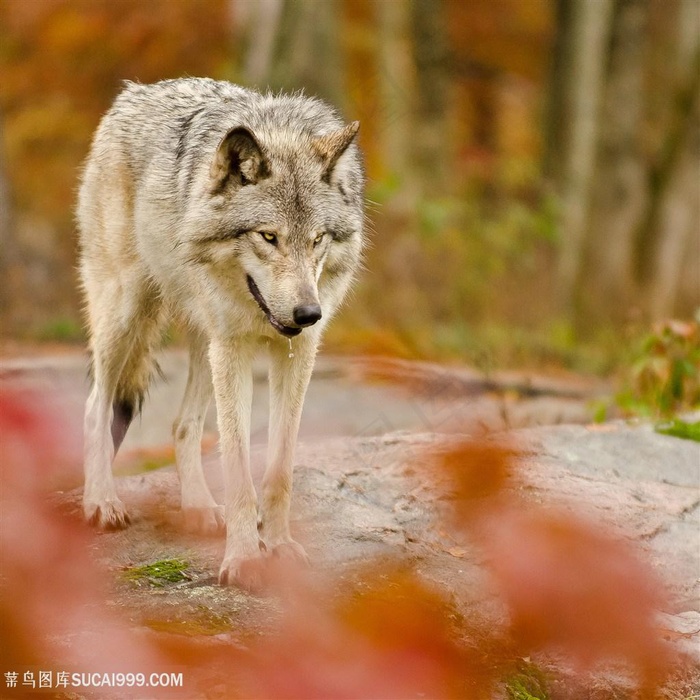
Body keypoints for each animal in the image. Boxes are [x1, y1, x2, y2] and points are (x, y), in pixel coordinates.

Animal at [78, 76, 366, 592]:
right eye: (268, 237)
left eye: (317, 240)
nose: (308, 312)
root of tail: (132, 93)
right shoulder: (233, 349)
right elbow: (237, 466)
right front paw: (246, 559)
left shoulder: (296, 353)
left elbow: (279, 468)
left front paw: (280, 546)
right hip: (125, 311)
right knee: (96, 406)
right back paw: (102, 501)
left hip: (202, 338)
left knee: (182, 424)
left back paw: (197, 506)